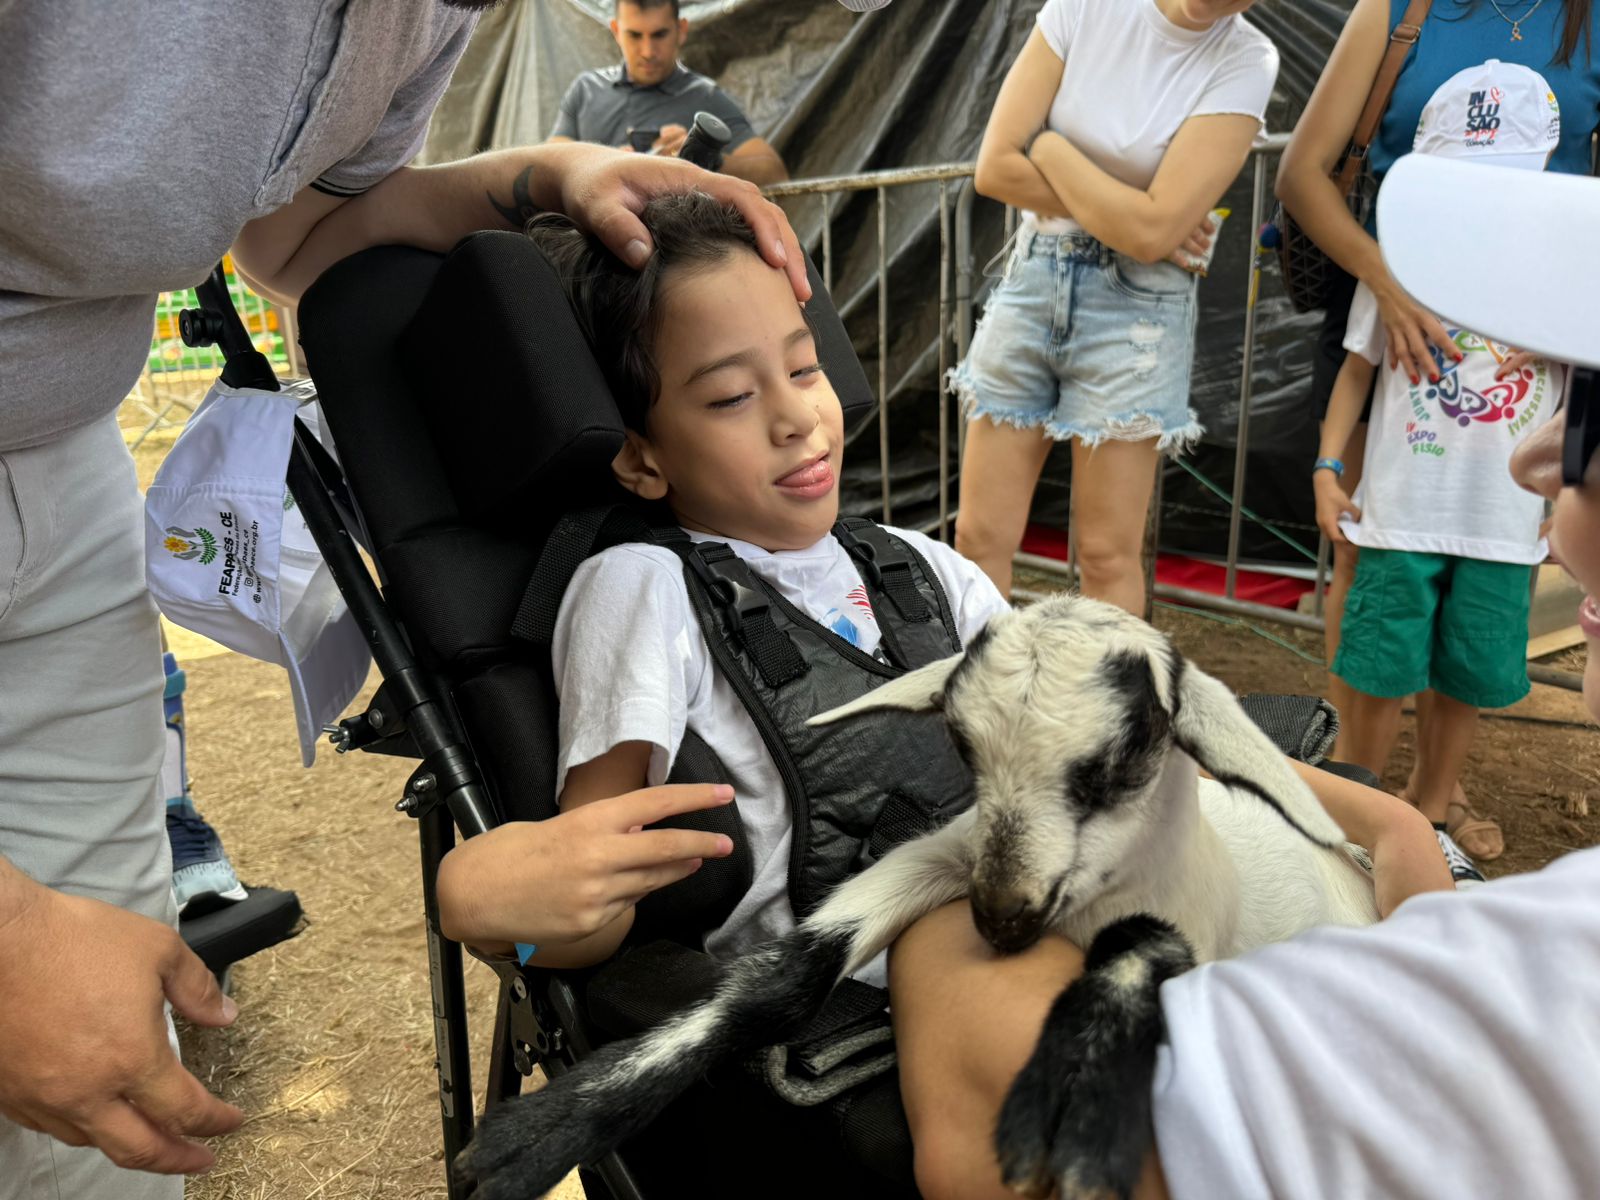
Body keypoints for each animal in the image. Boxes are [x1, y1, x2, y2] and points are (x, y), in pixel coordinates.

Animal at [460, 595, 1376, 1200]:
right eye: (962, 748)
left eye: (1122, 762)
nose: (999, 918)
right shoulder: (945, 854)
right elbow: (787, 974)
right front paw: (538, 1136)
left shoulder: (1192, 932)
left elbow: (1139, 948)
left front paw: (1072, 1099)